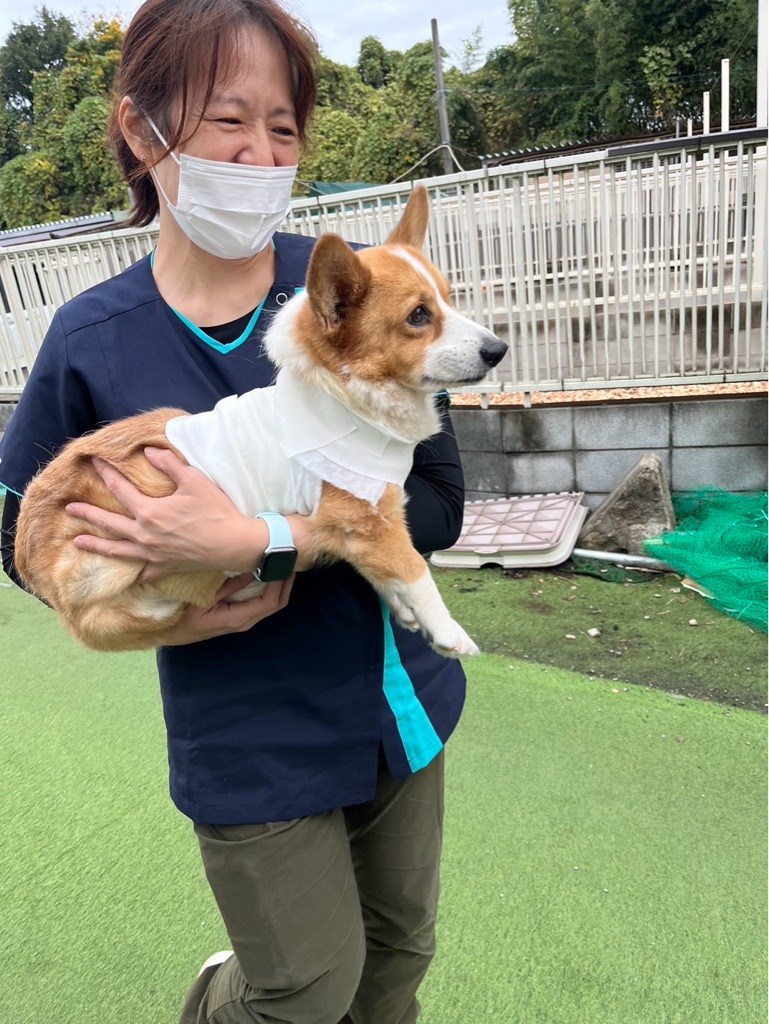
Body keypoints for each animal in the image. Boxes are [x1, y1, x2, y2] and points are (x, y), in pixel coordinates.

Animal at [14, 186, 507, 654]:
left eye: (449, 300)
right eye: (418, 316)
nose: (499, 350)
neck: (347, 395)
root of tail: (28, 558)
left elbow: (388, 574)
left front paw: (404, 611)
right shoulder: (365, 522)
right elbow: (415, 571)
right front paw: (448, 633)